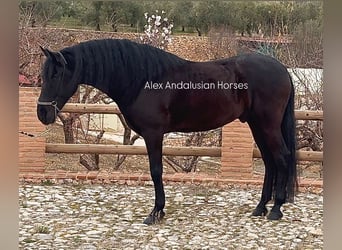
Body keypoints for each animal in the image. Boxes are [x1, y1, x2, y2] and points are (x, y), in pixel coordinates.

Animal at [37, 38, 296, 225]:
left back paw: (276, 209)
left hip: (268, 125)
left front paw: (155, 212)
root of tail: (282, 69)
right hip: (256, 124)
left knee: (282, 158)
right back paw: (260, 208)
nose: (42, 113)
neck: (142, 80)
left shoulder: (153, 134)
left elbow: (156, 171)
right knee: (270, 161)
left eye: (56, 74)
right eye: (43, 74)